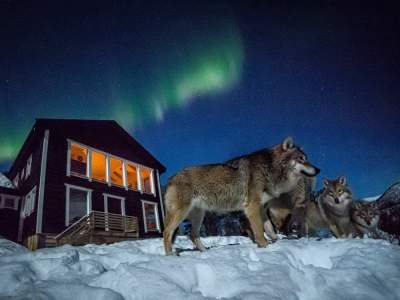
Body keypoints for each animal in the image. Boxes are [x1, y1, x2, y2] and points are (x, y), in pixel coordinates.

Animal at [162, 137, 318, 254]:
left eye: (307, 158)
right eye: (301, 158)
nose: (318, 169)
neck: (271, 168)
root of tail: (171, 179)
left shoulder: (262, 208)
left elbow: (270, 228)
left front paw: (275, 243)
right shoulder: (252, 208)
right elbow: (259, 231)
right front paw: (264, 246)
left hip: (199, 216)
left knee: (193, 235)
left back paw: (205, 252)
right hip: (182, 214)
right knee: (166, 232)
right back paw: (170, 255)